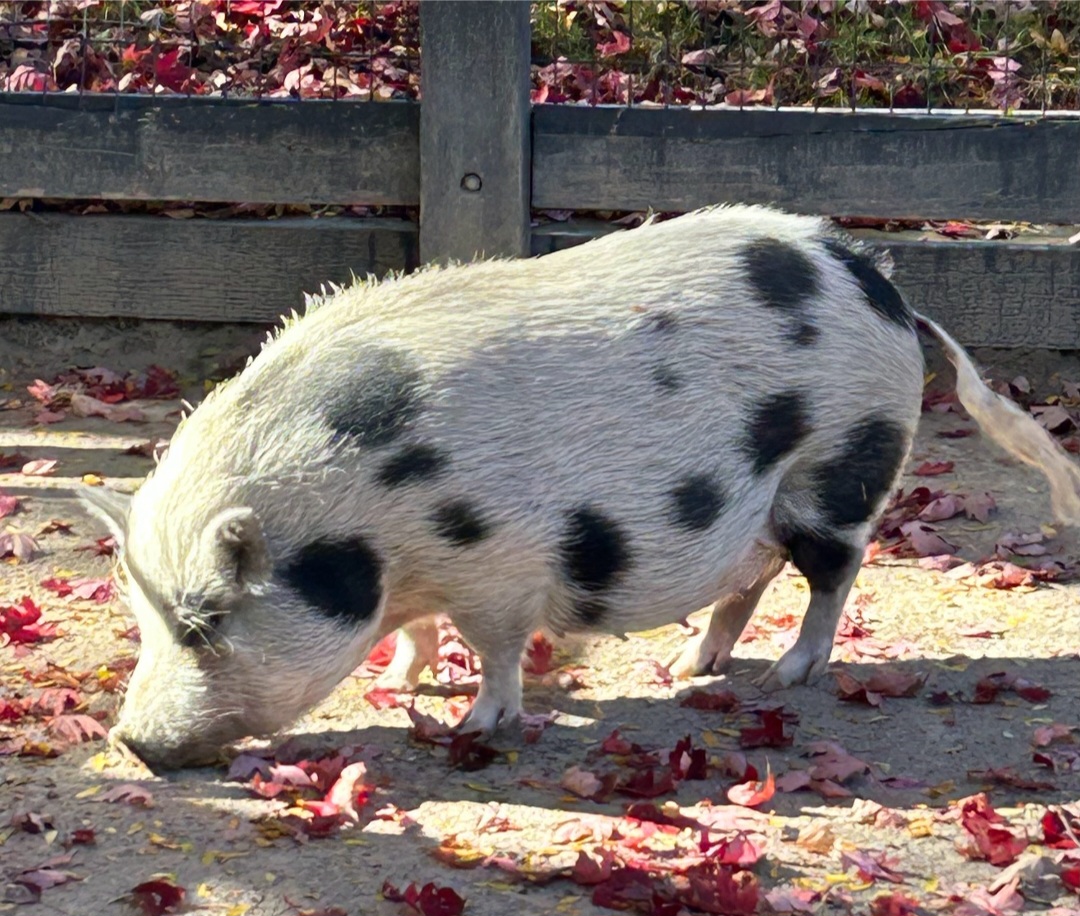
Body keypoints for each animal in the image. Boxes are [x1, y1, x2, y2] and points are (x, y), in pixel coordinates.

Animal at [82, 204, 1080, 769]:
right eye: (144, 617)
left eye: (207, 621)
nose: (132, 743)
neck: (370, 532)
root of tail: (889, 293)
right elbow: (417, 632)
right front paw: (400, 684)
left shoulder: (500, 567)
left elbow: (493, 648)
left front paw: (477, 725)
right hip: (766, 497)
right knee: (752, 575)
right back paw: (692, 668)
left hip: (839, 461)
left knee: (834, 572)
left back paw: (789, 675)